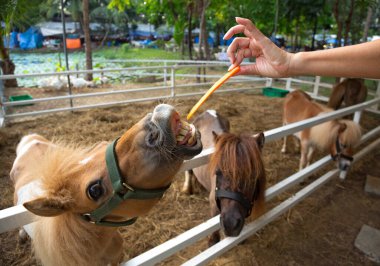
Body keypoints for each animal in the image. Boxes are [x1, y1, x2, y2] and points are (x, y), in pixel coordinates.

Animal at [182, 109, 266, 245]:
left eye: (253, 174)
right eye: (218, 172)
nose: (231, 224)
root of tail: (208, 111)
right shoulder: (213, 202)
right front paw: (213, 241)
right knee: (189, 170)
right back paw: (187, 189)